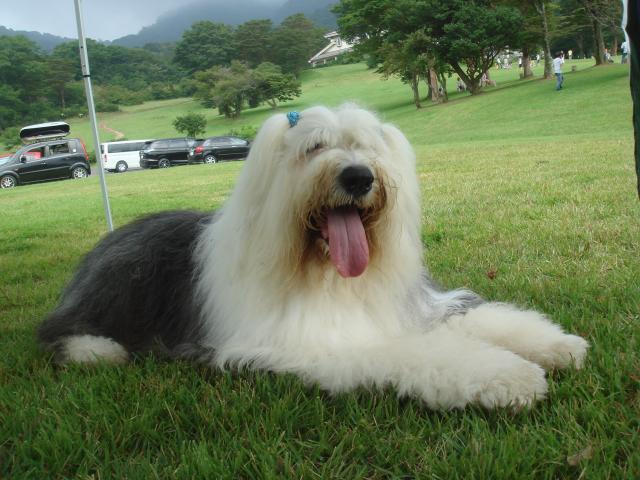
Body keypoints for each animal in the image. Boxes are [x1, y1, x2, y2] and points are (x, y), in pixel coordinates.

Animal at [38, 105, 587, 409]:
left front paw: (556, 346)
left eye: (368, 147)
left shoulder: (418, 309)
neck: (331, 275)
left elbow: (484, 317)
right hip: (118, 287)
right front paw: (511, 377)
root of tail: (109, 238)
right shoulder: (323, 342)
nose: (358, 177)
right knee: (54, 330)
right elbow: (426, 354)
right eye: (313, 148)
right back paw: (95, 351)